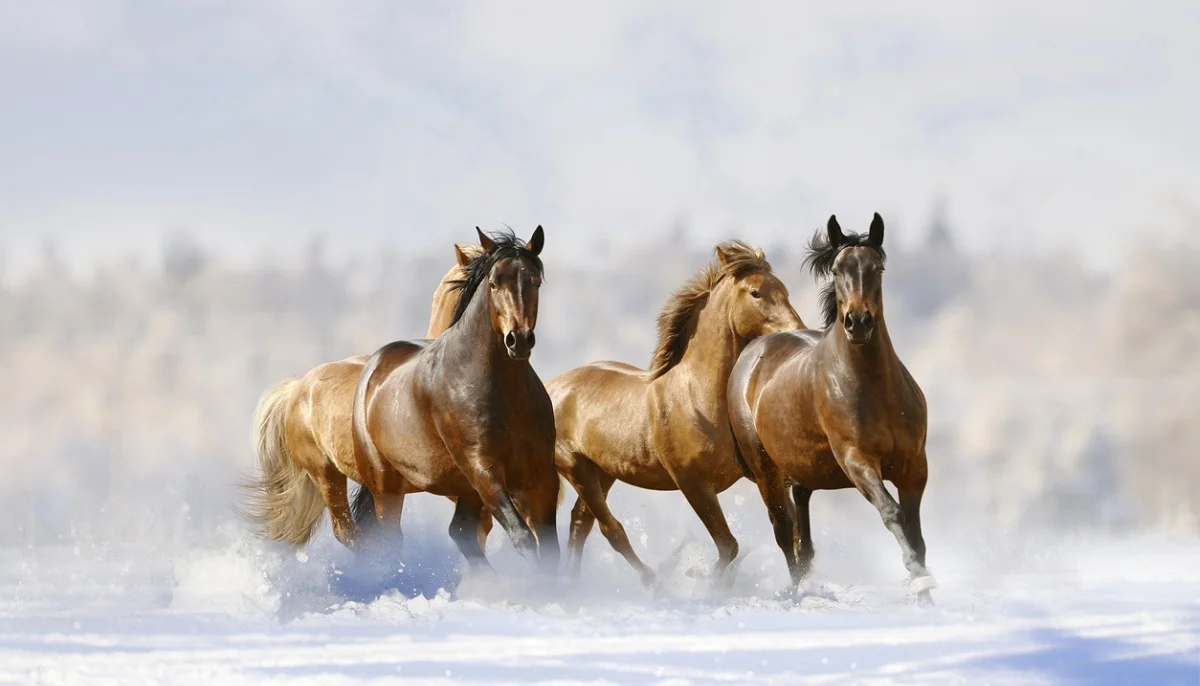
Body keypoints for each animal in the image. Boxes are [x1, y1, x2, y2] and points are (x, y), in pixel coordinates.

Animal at [350, 227, 556, 570]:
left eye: (535, 281)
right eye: (494, 283)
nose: (519, 340)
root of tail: (373, 367)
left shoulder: (540, 475)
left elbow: (551, 546)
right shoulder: (484, 470)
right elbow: (523, 537)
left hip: (465, 490)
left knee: (461, 531)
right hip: (386, 486)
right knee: (391, 541)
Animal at [549, 241, 801, 585]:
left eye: (784, 289)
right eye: (755, 293)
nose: (798, 331)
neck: (697, 397)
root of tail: (551, 387)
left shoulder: (766, 474)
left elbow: (786, 530)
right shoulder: (692, 484)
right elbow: (729, 546)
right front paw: (706, 584)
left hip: (602, 471)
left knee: (579, 524)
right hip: (576, 468)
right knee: (609, 529)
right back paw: (653, 582)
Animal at [720, 214, 936, 604]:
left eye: (878, 268)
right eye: (836, 270)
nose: (858, 322)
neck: (875, 389)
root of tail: (753, 350)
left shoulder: (915, 466)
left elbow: (916, 532)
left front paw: (925, 593)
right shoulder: (857, 460)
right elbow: (892, 513)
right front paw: (918, 578)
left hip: (803, 469)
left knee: (802, 534)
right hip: (765, 470)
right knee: (784, 531)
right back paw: (795, 593)